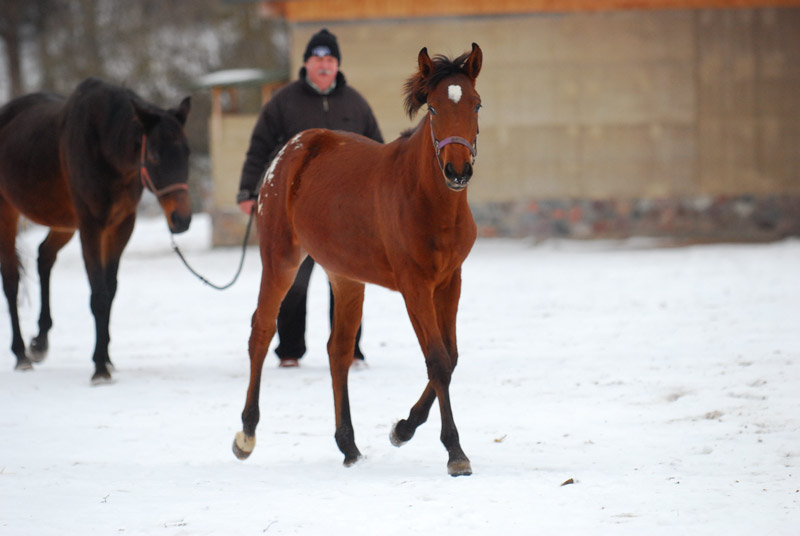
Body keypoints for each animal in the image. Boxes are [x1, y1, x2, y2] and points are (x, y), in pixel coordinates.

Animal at [0, 77, 192, 384]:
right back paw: (20, 354)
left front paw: (106, 357)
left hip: (64, 222)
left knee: (44, 258)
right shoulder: (91, 226)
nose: (181, 220)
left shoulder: (120, 226)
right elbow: (99, 295)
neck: (104, 146)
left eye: (186, 152)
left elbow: (110, 290)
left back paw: (39, 343)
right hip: (7, 213)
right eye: (154, 154)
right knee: (11, 281)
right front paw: (100, 367)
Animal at [231, 44, 482, 476]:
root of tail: (293, 148)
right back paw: (246, 434)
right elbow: (437, 360)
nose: (457, 170)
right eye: (433, 107)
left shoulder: (450, 280)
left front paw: (402, 428)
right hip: (281, 260)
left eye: (477, 104)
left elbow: (450, 357)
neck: (429, 201)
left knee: (339, 350)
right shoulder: (415, 286)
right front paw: (454, 452)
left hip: (345, 277)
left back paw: (348, 445)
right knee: (261, 331)